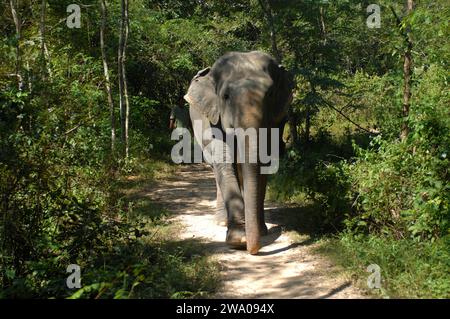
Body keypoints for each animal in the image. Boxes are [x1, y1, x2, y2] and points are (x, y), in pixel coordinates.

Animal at [185, 51, 294, 256]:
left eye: (270, 94)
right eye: (226, 96)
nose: (253, 250)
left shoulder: (276, 122)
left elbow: (263, 164)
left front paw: (260, 232)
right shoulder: (214, 119)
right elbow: (224, 161)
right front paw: (238, 240)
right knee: (218, 169)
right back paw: (221, 222)